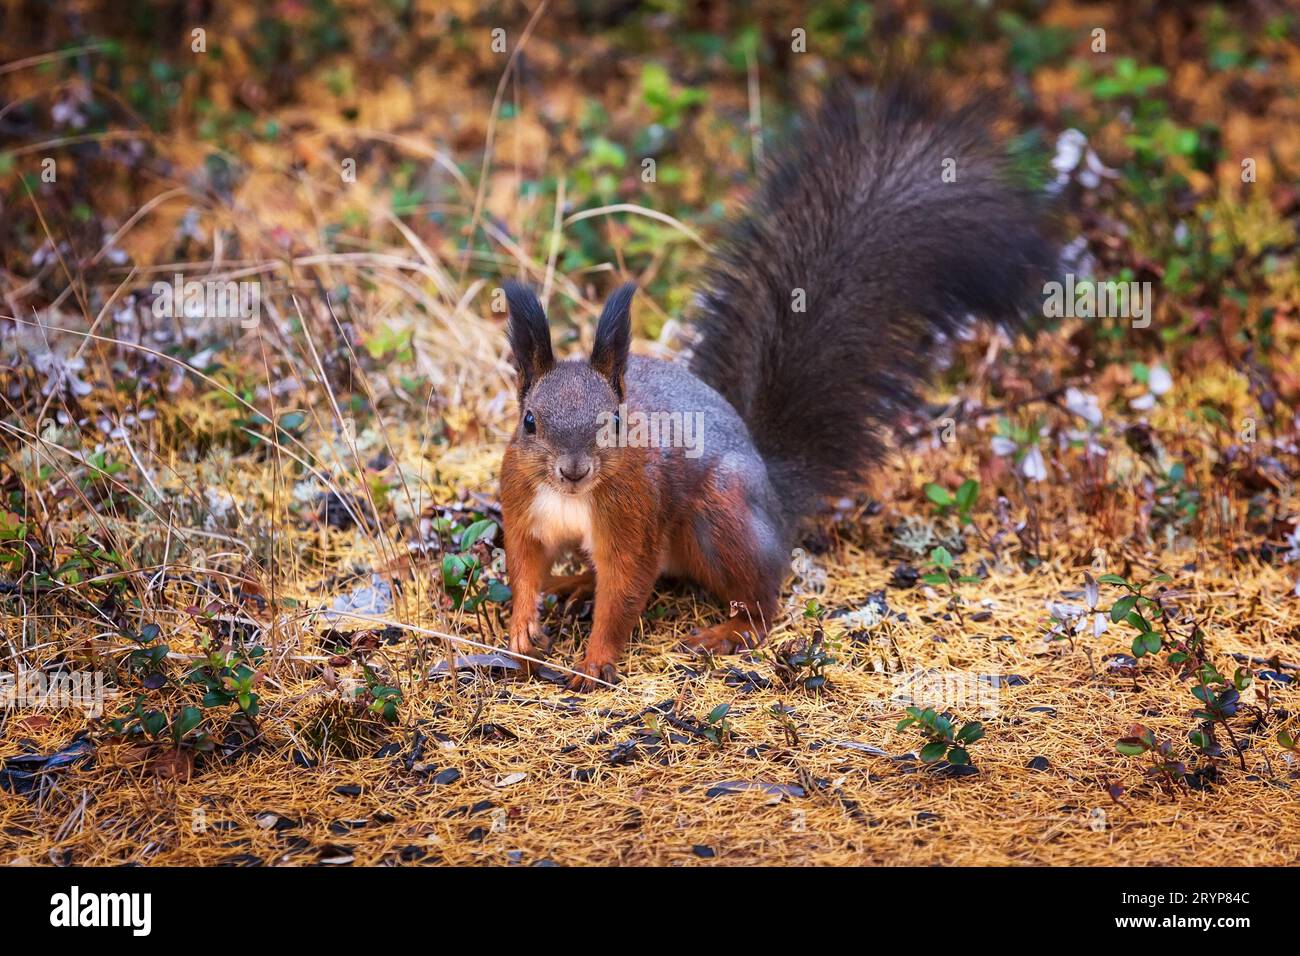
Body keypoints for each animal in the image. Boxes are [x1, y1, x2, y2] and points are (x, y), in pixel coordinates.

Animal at [499, 80, 1056, 690]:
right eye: (530, 421)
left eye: (616, 421)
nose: (573, 471)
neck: (571, 500)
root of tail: (776, 499)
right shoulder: (523, 504)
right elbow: (524, 563)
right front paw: (522, 628)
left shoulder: (633, 515)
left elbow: (625, 589)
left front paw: (596, 661)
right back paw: (576, 585)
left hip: (723, 514)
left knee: (761, 600)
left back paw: (726, 632)